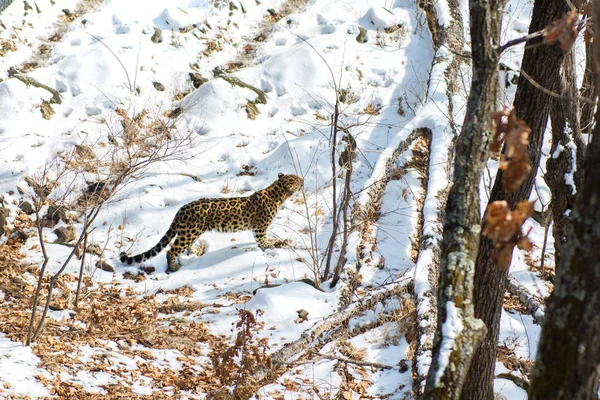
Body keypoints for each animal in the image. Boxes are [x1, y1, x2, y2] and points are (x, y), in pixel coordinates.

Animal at [120, 172, 304, 272]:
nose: (302, 179)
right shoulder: (259, 227)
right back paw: (173, 267)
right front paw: (268, 249)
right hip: (189, 232)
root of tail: (180, 210)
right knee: (171, 251)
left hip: (191, 232)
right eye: (295, 179)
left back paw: (194, 251)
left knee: (183, 246)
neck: (278, 195)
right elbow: (262, 240)